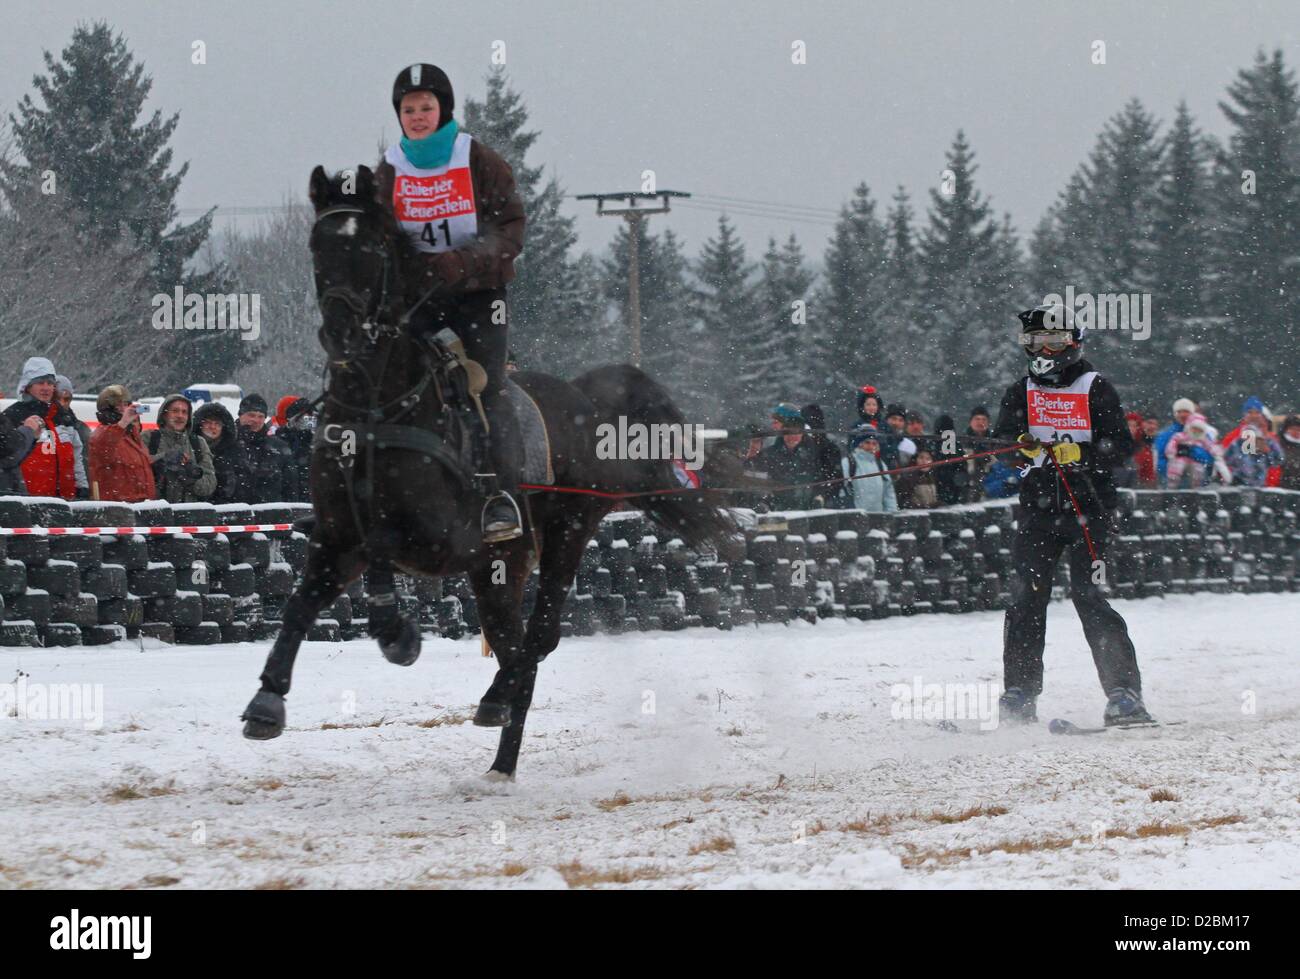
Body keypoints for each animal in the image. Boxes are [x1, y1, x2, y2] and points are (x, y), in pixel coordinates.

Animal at [243, 167, 743, 780]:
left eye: (372, 250)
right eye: (318, 248)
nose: (342, 333)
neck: (378, 411)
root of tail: (586, 401)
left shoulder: (442, 540)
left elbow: (383, 546)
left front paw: (397, 634)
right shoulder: (337, 537)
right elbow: (300, 602)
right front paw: (266, 701)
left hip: (561, 535)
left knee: (538, 638)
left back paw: (496, 710)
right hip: (501, 567)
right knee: (515, 647)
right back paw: (501, 747)